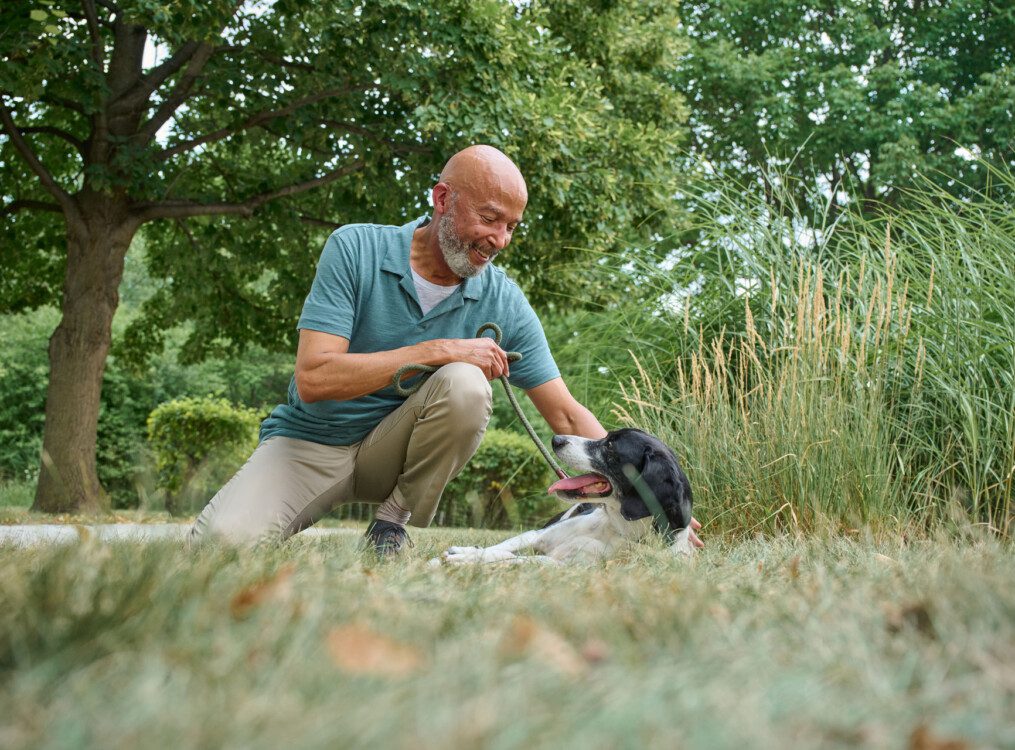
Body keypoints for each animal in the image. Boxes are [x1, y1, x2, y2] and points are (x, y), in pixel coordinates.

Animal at [432, 428, 694, 564]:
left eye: (610, 446)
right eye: (605, 436)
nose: (556, 439)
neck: (617, 528)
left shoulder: (562, 564)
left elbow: (513, 559)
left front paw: (462, 561)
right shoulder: (536, 536)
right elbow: (499, 549)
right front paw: (464, 554)